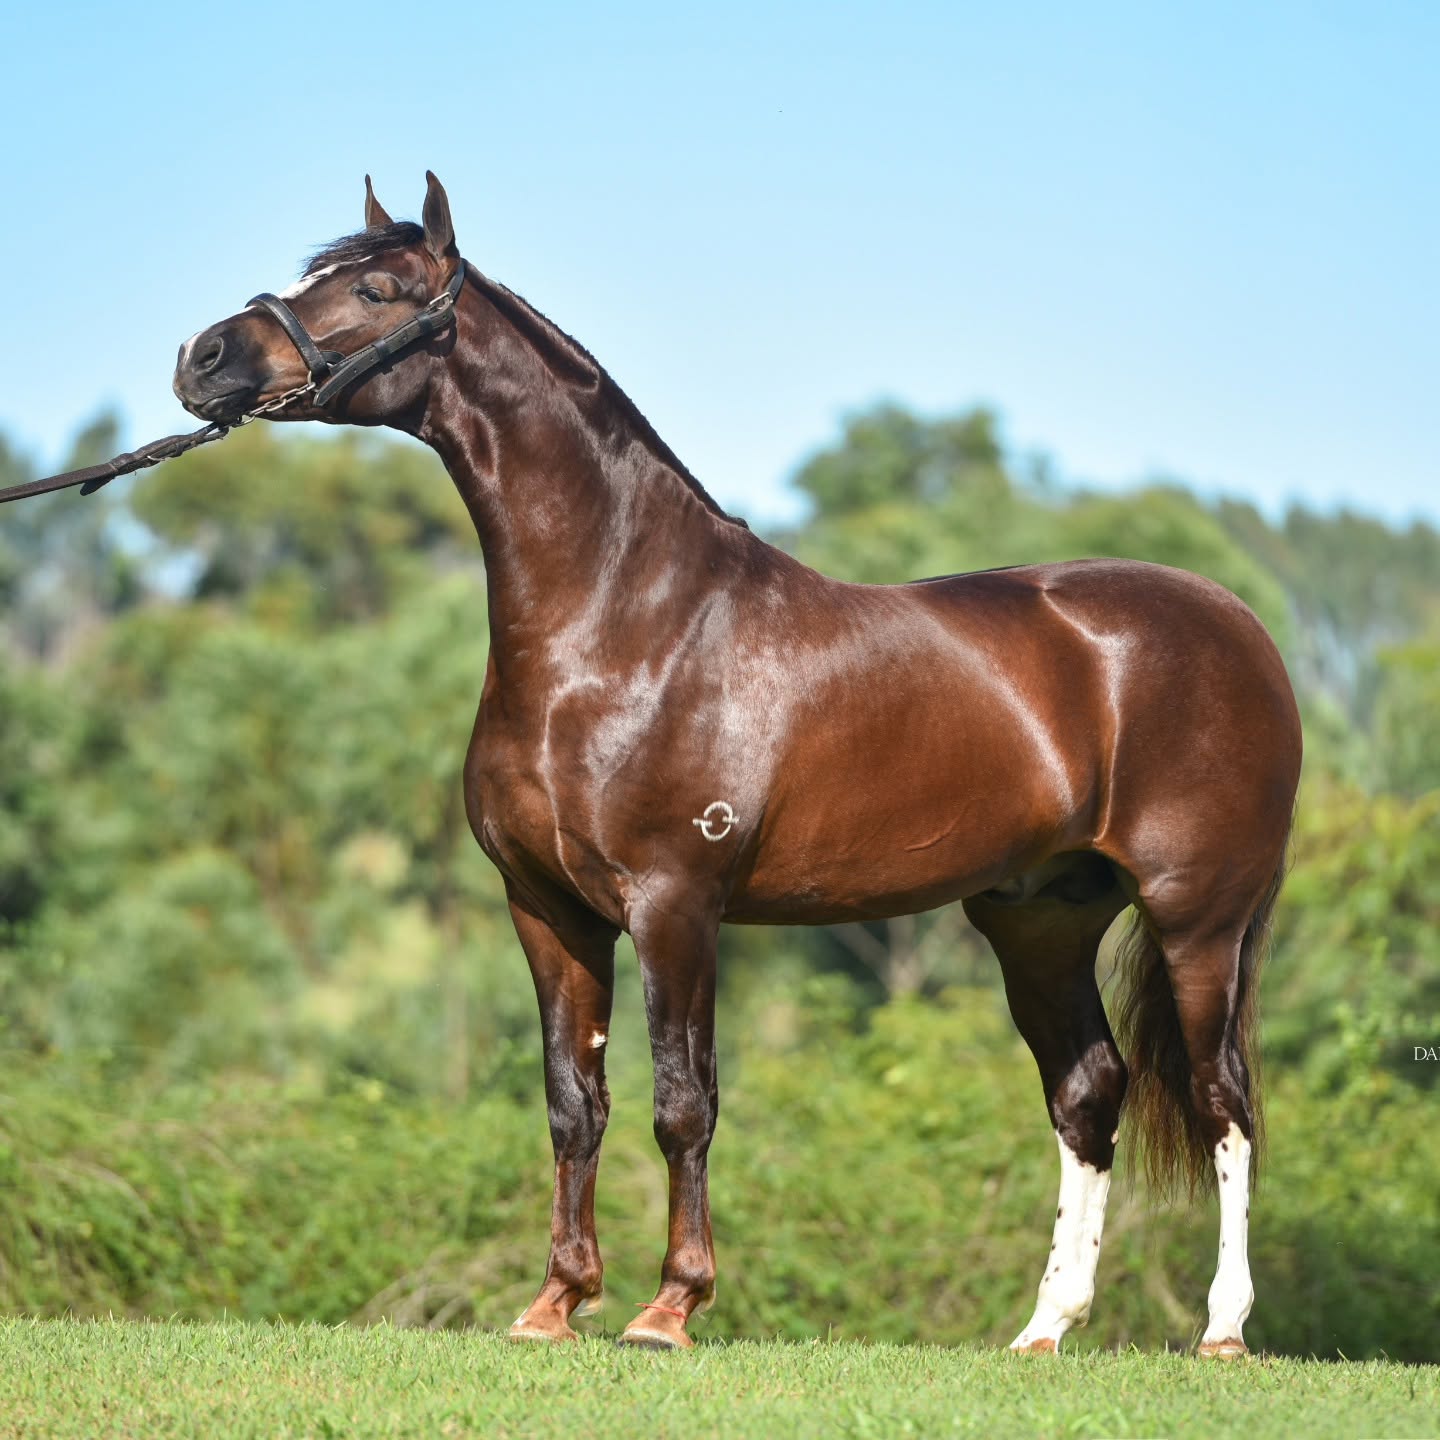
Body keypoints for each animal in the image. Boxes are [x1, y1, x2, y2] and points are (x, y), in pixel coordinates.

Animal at [172, 172, 1301, 1356]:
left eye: (378, 289)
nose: (205, 357)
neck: (623, 623)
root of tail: (1240, 626)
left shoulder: (676, 904)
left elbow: (683, 1103)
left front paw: (670, 1306)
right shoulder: (547, 910)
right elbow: (573, 1102)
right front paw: (555, 1301)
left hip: (1197, 920)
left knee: (1224, 1099)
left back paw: (1223, 1327)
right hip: (1041, 921)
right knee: (1088, 1092)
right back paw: (1045, 1326)